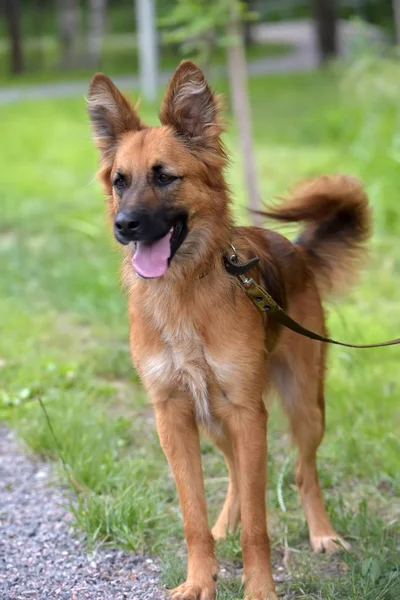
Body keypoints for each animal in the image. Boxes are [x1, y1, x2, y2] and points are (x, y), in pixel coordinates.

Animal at [88, 62, 372, 600]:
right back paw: (226, 526)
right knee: (239, 476)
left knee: (303, 471)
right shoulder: (174, 415)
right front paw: (201, 578)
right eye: (120, 181)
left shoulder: (246, 411)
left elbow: (260, 523)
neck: (183, 291)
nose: (124, 225)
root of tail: (296, 251)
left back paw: (322, 534)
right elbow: (192, 516)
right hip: (216, 420)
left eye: (165, 177)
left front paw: (258, 586)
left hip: (303, 406)